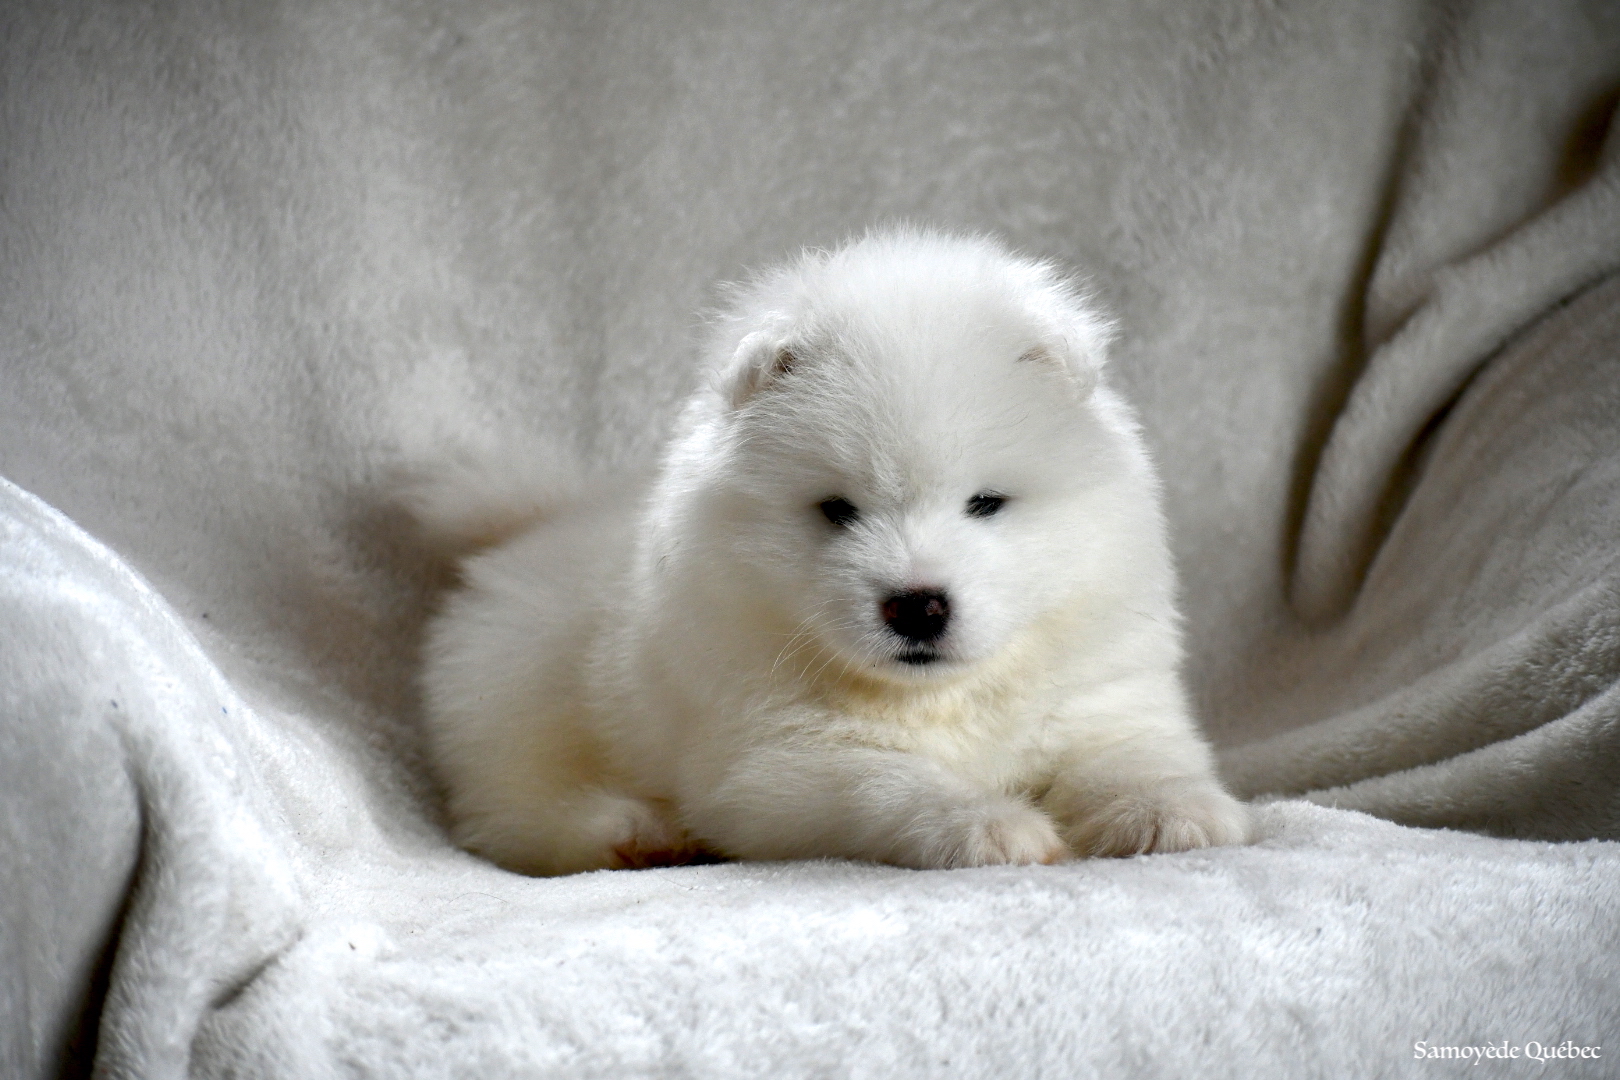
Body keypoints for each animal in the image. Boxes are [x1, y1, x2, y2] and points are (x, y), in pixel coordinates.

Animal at [411, 229, 1244, 880]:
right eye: (838, 511)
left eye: (985, 504)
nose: (918, 605)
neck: (938, 696)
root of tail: (526, 531)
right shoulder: (778, 762)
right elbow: (894, 784)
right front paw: (987, 824)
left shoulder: (1104, 697)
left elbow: (1131, 755)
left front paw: (1174, 812)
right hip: (513, 713)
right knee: (515, 814)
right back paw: (635, 832)